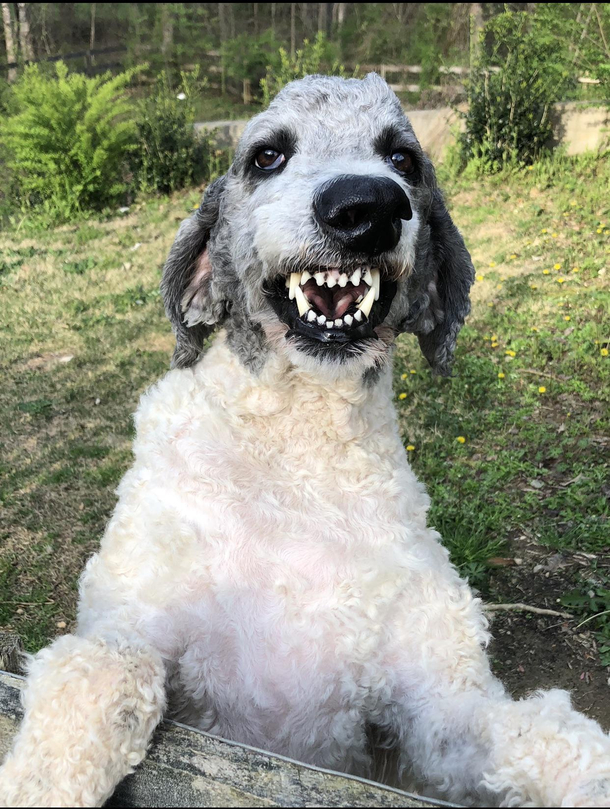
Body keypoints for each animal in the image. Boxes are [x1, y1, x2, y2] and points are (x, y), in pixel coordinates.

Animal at [1, 72, 608, 804]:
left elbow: (539, 734)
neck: (297, 460)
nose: (368, 206)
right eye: (267, 155)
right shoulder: (131, 617)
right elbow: (99, 669)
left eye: (403, 159)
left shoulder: (442, 711)